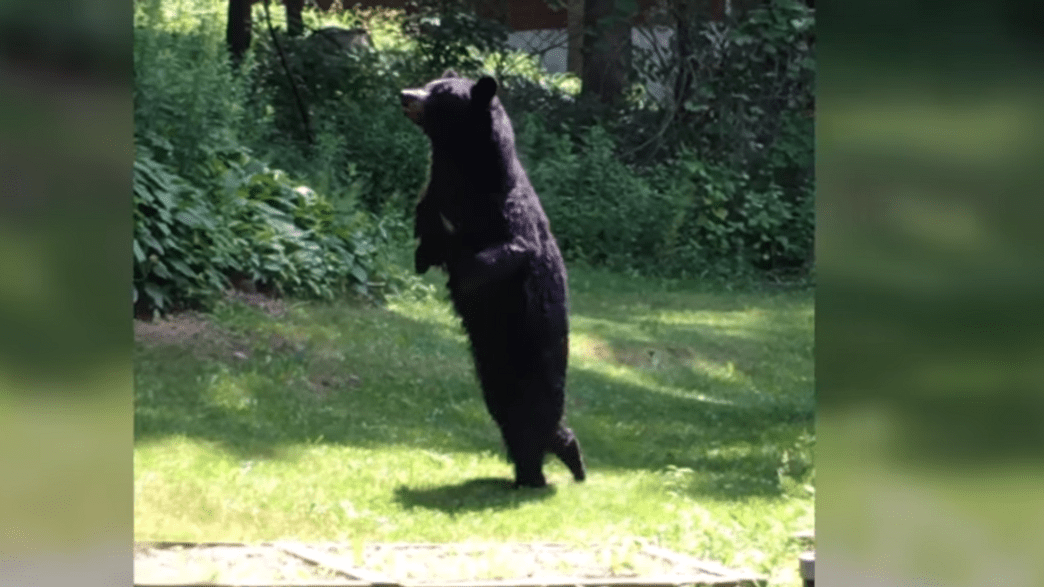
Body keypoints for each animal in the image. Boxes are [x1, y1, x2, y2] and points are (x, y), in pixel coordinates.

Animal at [401, 71, 586, 488]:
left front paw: (463, 276)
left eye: (440, 93)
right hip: (497, 385)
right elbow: (427, 237)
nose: (405, 94)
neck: (463, 169)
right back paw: (529, 476)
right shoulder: (435, 196)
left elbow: (513, 250)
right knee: (520, 433)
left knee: (541, 429)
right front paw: (425, 255)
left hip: (535, 377)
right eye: (429, 83)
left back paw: (566, 468)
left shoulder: (505, 211)